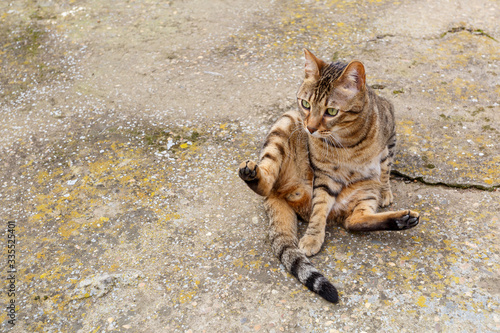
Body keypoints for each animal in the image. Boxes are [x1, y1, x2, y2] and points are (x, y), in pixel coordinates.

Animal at [240, 48, 420, 300]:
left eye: (331, 111)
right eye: (305, 104)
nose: (310, 128)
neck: (348, 141)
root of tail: (278, 194)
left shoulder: (390, 139)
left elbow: (385, 169)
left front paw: (386, 192)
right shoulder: (324, 176)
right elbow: (319, 211)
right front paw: (313, 237)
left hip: (366, 187)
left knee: (353, 221)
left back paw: (401, 220)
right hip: (285, 123)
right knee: (269, 183)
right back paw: (252, 173)